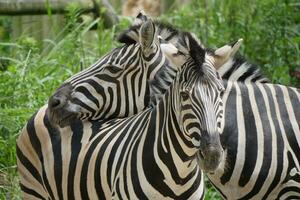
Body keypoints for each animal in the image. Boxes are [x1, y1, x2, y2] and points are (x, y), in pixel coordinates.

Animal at [16, 30, 227, 198]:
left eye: (221, 92)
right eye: (184, 95)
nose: (212, 155)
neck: (180, 172)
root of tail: (40, 109)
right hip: (32, 190)